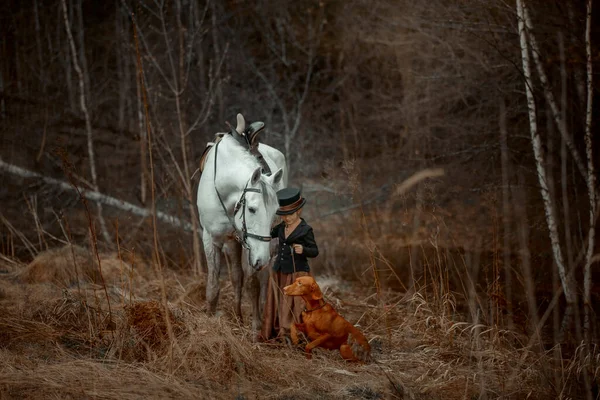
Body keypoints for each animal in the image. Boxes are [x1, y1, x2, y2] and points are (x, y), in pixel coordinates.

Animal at [198, 114, 288, 332]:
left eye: (274, 213)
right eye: (252, 209)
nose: (262, 260)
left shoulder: (253, 246)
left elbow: (254, 283)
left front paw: (256, 329)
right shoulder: (212, 238)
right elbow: (215, 284)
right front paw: (211, 319)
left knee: (262, 281)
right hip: (233, 242)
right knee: (237, 277)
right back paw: (238, 316)